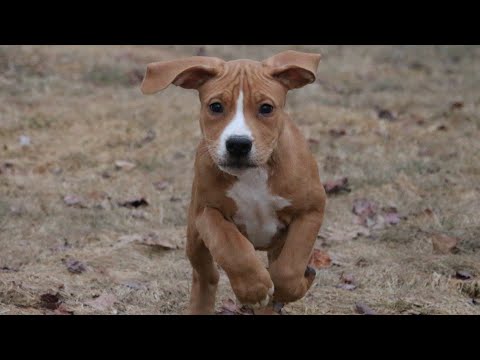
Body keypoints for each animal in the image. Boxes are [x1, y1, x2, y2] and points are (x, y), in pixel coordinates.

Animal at [140, 50, 326, 316]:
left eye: (266, 108)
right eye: (215, 106)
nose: (238, 144)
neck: (253, 175)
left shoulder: (311, 210)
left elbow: (289, 268)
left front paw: (296, 283)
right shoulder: (205, 212)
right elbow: (230, 245)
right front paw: (253, 287)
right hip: (194, 240)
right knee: (206, 275)